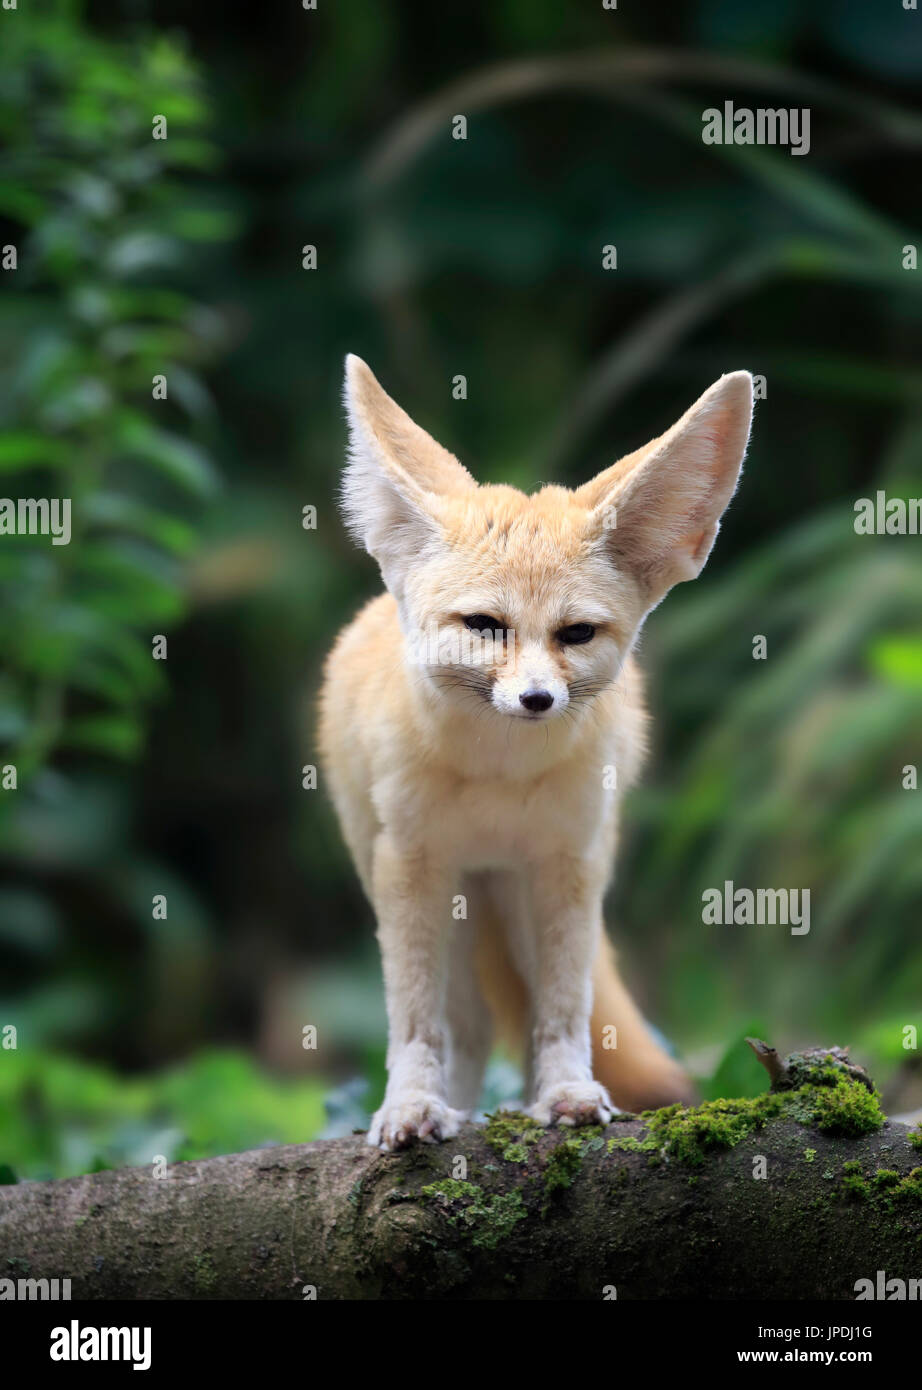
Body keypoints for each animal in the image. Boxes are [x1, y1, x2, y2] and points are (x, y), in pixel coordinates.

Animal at [319, 354, 753, 1151]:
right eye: (485, 626)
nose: (536, 700)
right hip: (436, 890)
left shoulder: (567, 863)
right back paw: (457, 1108)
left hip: (521, 893)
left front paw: (568, 1095)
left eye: (574, 634)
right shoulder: (411, 868)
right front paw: (410, 1107)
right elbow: (416, 1022)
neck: (498, 777)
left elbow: (563, 1009)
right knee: (467, 1024)